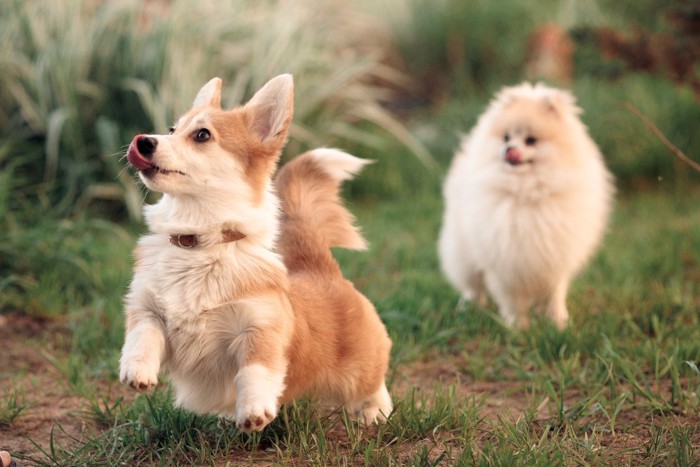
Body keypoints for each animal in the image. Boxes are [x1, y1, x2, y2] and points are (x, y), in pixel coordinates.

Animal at [117, 75, 392, 434]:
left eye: (202, 135)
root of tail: (322, 268)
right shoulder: (147, 308)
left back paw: (377, 413)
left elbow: (254, 371)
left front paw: (254, 411)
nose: (143, 141)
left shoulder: (259, 328)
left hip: (359, 368)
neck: (201, 241)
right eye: (172, 129)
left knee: (374, 384)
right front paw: (137, 372)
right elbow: (142, 336)